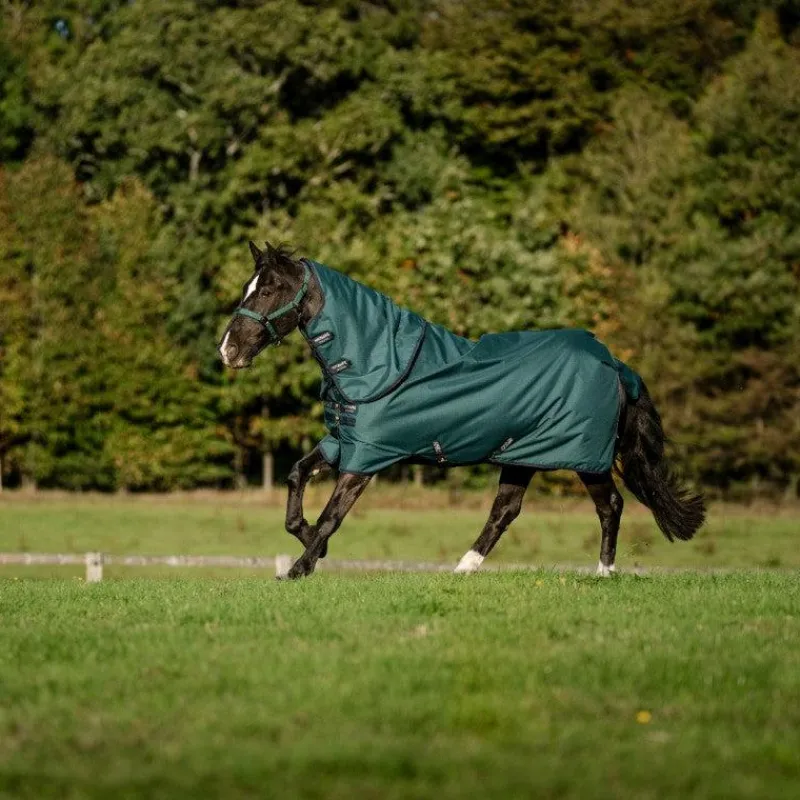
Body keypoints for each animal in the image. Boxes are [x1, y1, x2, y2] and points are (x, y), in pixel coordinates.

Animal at [219, 241, 705, 580]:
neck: (377, 361)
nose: (228, 350)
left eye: (270, 289)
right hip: (522, 454)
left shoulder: (367, 458)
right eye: (248, 288)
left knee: (611, 506)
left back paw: (604, 572)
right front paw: (308, 546)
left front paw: (299, 568)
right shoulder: (343, 442)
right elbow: (296, 479)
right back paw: (464, 568)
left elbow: (330, 517)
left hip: (585, 457)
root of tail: (615, 364)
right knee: (505, 511)